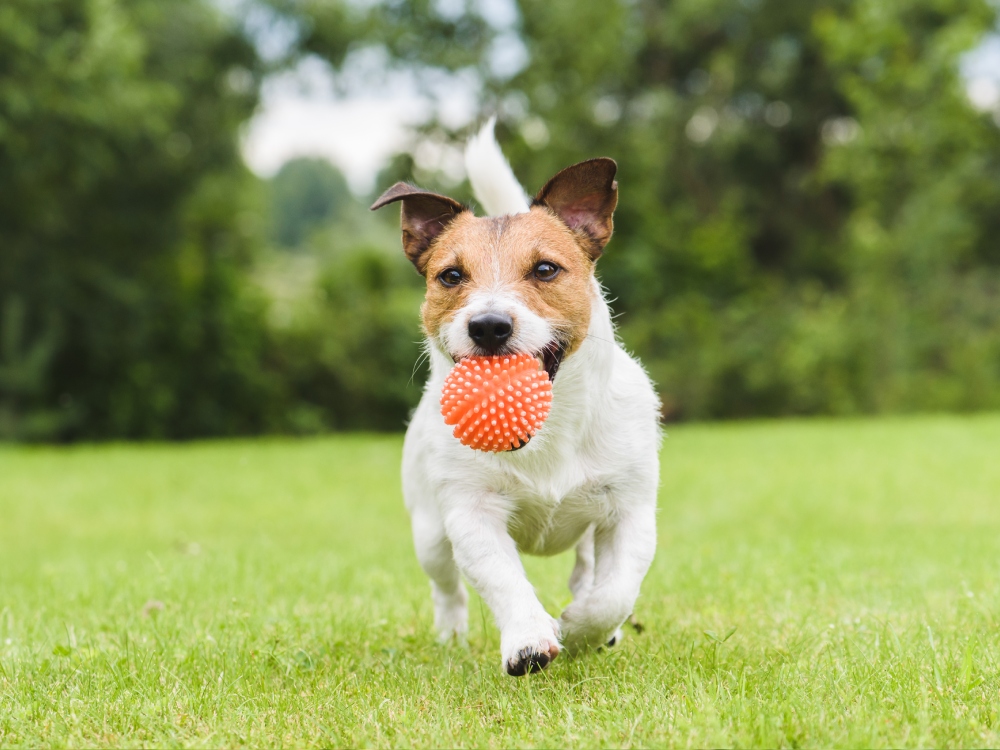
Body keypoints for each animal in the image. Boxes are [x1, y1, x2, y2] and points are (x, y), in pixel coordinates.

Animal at [372, 120, 660, 680]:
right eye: (451, 276)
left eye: (546, 270)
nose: (488, 325)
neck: (547, 432)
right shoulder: (471, 514)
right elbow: (503, 579)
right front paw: (529, 639)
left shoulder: (630, 510)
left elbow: (614, 593)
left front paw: (582, 629)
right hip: (429, 533)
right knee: (447, 588)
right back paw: (451, 635)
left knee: (588, 570)